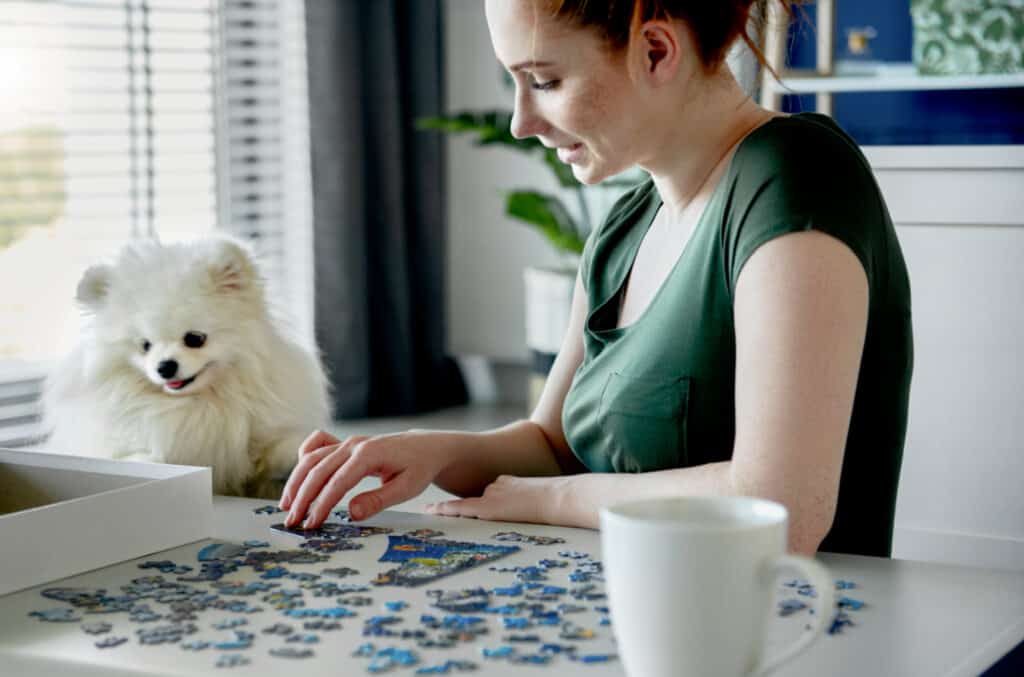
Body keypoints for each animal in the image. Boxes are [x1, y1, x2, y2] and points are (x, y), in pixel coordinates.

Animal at [41, 237, 329, 495]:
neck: (199, 405)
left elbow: (276, 456)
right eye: (145, 345)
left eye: (194, 339)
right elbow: (132, 458)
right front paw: (150, 463)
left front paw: (305, 456)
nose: (165, 367)